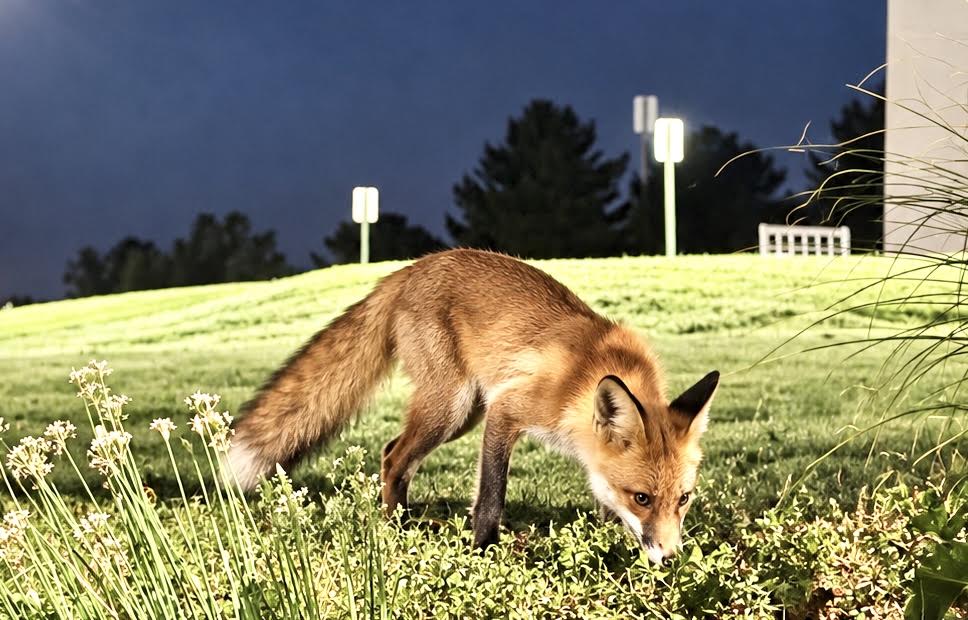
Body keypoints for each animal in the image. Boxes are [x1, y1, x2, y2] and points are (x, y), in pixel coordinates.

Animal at [229, 248, 719, 564]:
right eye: (643, 498)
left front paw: (607, 545)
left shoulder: (586, 456)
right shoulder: (508, 409)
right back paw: (395, 529)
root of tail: (408, 269)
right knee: (393, 459)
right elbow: (491, 495)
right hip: (454, 407)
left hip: (464, 414)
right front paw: (483, 550)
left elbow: (602, 501)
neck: (584, 380)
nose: (672, 558)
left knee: (391, 453)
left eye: (684, 498)